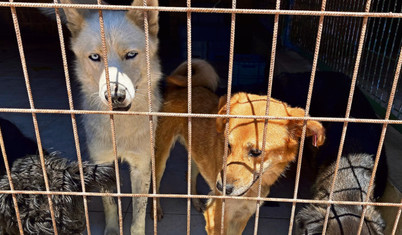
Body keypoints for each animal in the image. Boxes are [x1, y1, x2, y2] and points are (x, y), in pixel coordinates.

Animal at [155, 59, 326, 233]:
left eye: (256, 152)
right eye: (228, 145)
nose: (221, 187)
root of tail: (180, 88)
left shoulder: (242, 216)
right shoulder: (216, 217)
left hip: (197, 155)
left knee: (190, 175)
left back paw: (195, 202)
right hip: (160, 155)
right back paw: (156, 211)